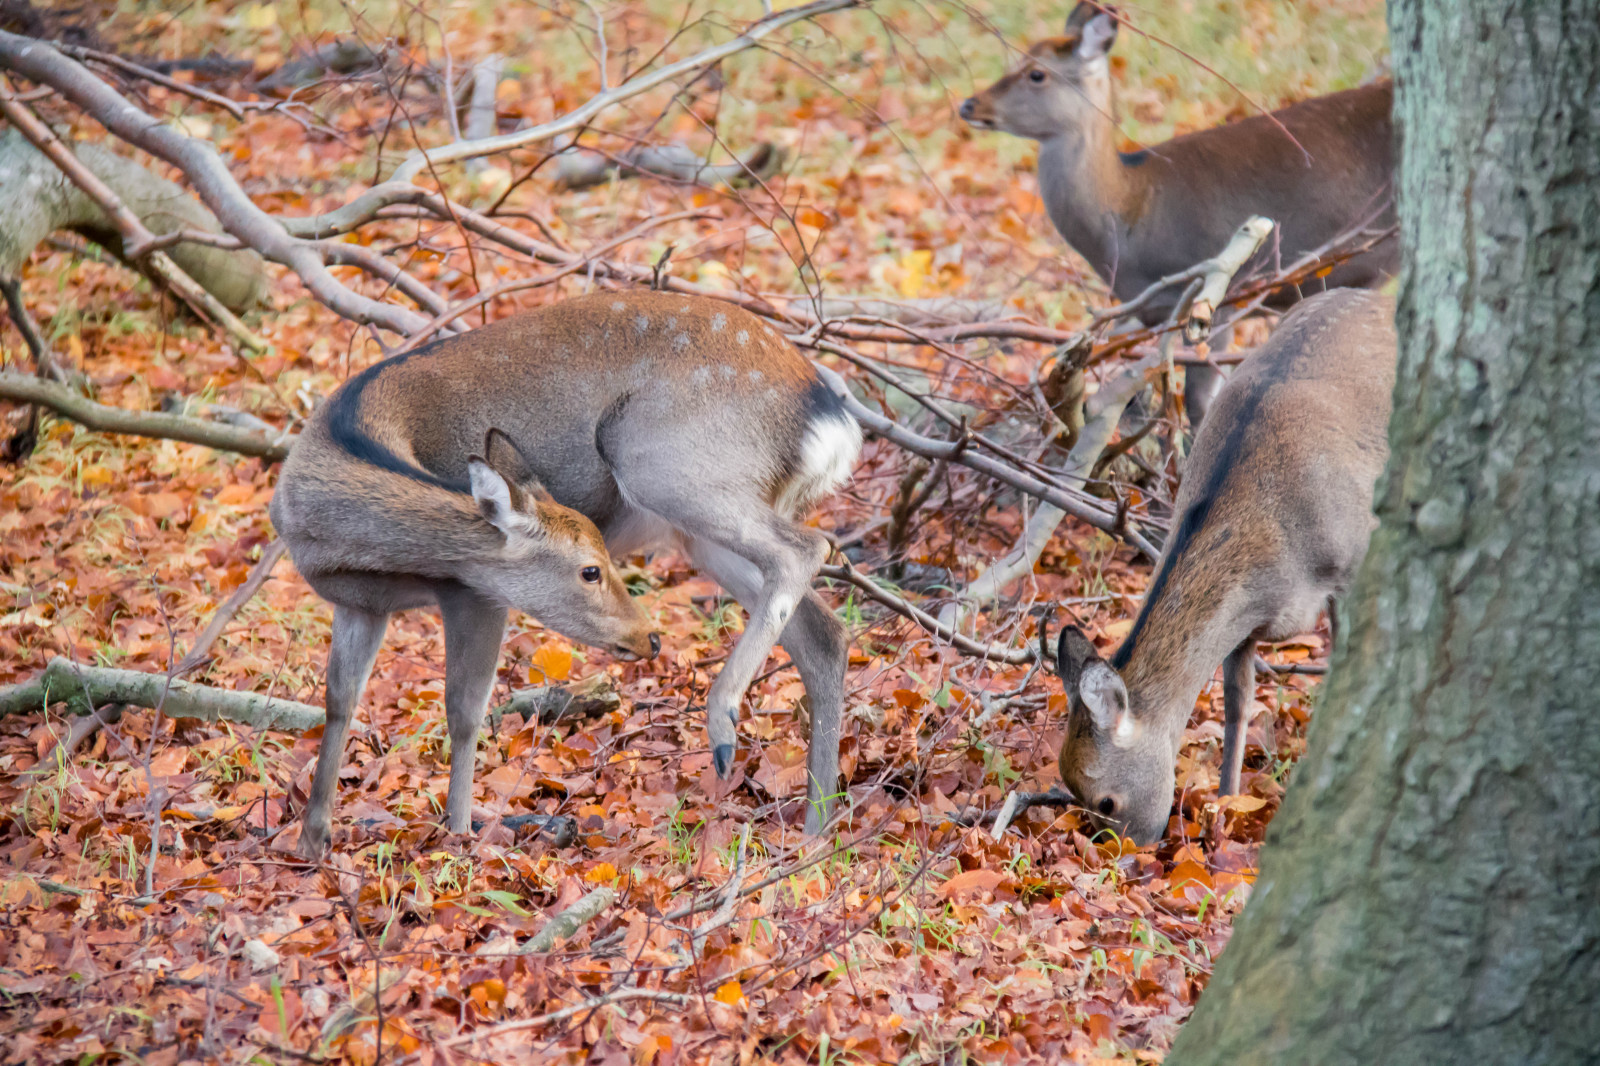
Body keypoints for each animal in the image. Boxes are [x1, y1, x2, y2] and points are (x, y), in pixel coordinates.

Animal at [269, 290, 862, 856]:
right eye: (590, 571)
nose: (649, 638)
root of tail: (829, 418)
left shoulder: (474, 592)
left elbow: (464, 710)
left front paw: (457, 837)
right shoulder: (358, 603)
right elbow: (338, 701)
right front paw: (312, 841)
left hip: (666, 461)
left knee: (806, 548)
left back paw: (724, 728)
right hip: (696, 525)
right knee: (822, 631)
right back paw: (816, 830)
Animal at [1047, 289, 1395, 845]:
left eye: (1107, 801)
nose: (1118, 855)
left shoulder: (1351, 564)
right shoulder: (1245, 625)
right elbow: (1238, 701)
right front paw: (1228, 802)